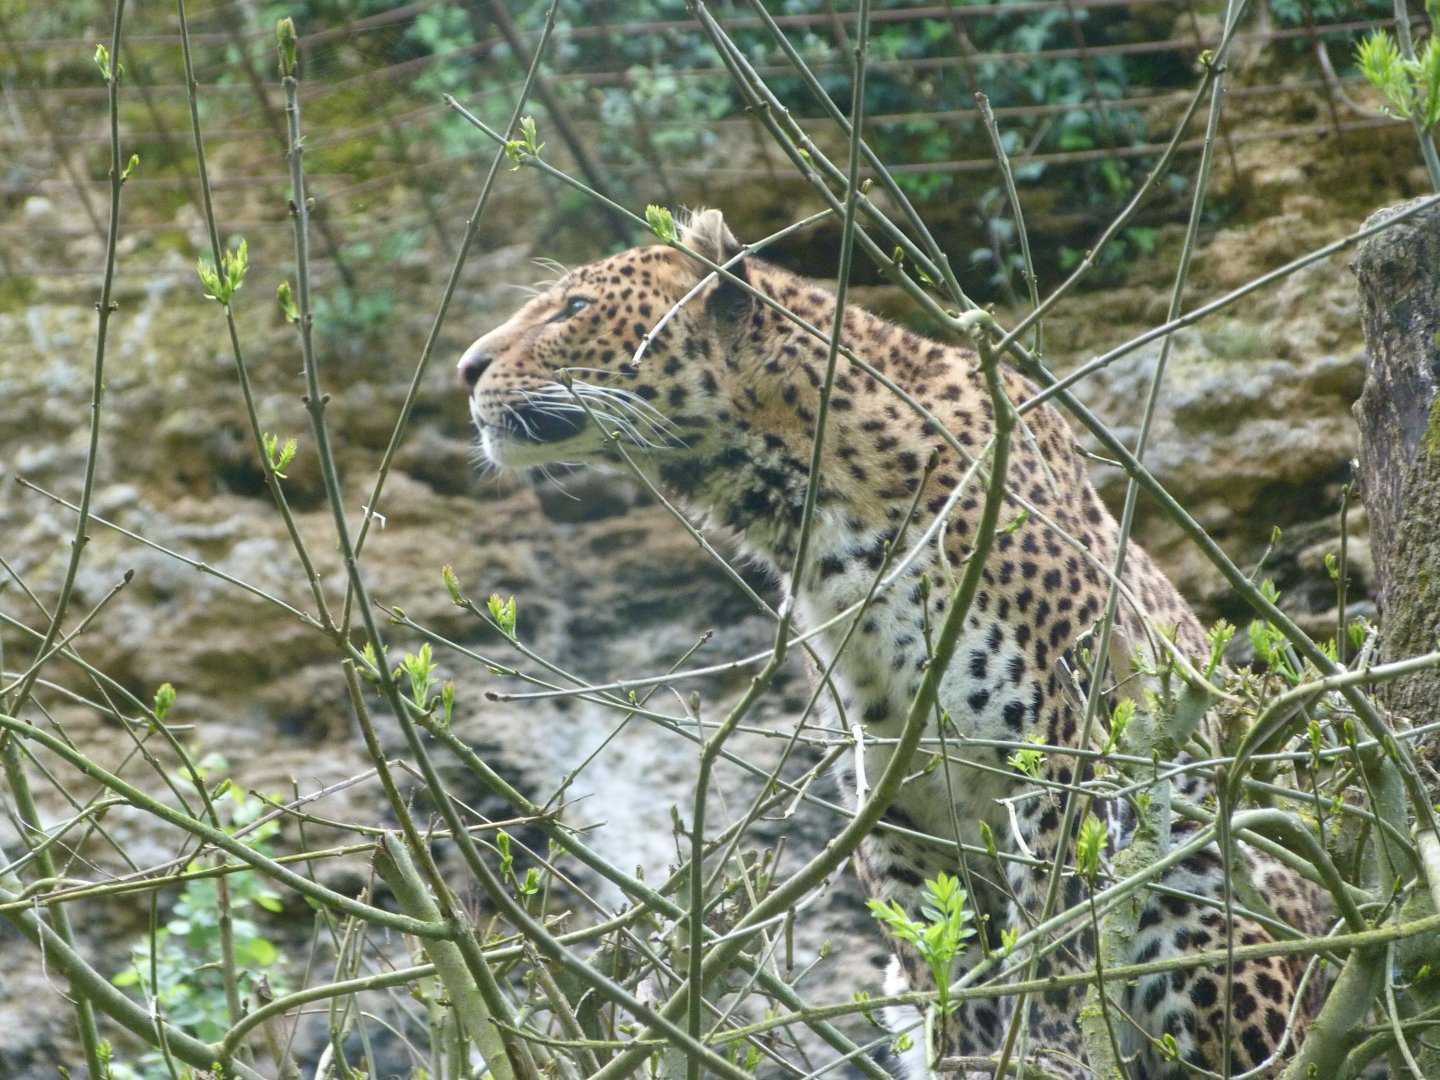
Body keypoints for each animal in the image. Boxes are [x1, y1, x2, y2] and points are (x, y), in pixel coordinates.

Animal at [458, 208, 1325, 1079]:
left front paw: (1044, 1048)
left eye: (573, 310)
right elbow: (948, 956)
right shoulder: (899, 800)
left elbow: (1059, 925)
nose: (466, 368)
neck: (808, 514)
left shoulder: (1062, 747)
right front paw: (969, 1056)